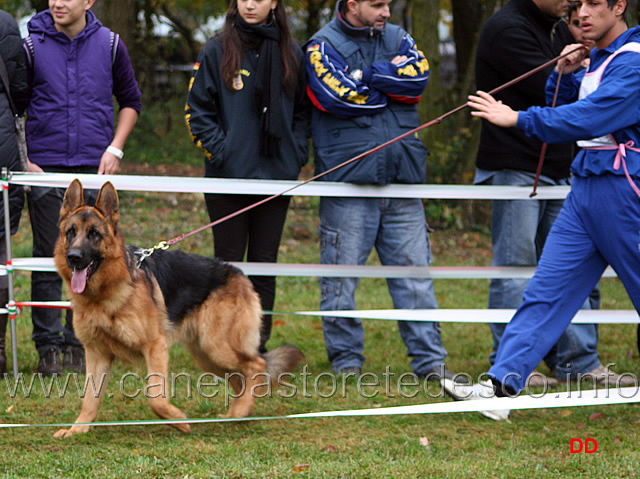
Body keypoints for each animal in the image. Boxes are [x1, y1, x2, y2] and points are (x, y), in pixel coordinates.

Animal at [52, 181, 304, 438]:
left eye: (94, 233)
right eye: (71, 232)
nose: (74, 257)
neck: (104, 294)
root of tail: (239, 274)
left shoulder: (154, 346)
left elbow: (156, 397)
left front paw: (179, 420)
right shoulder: (96, 353)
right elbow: (89, 398)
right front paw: (77, 429)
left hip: (217, 347)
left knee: (257, 365)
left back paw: (240, 411)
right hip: (207, 355)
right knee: (239, 378)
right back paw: (237, 413)